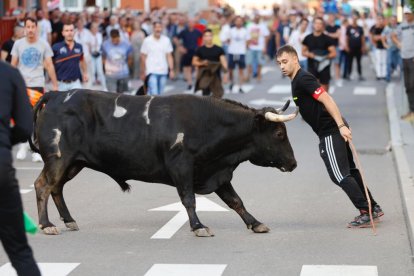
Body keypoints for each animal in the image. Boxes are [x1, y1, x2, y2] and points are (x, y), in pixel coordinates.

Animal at [31, 89, 298, 236]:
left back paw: (69, 220)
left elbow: (236, 201)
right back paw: (46, 224)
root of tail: (56, 95)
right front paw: (198, 226)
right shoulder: (182, 168)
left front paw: (255, 223)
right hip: (59, 159)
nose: (294, 163)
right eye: (279, 134)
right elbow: (189, 200)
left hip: (73, 163)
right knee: (43, 186)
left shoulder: (216, 173)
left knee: (56, 188)